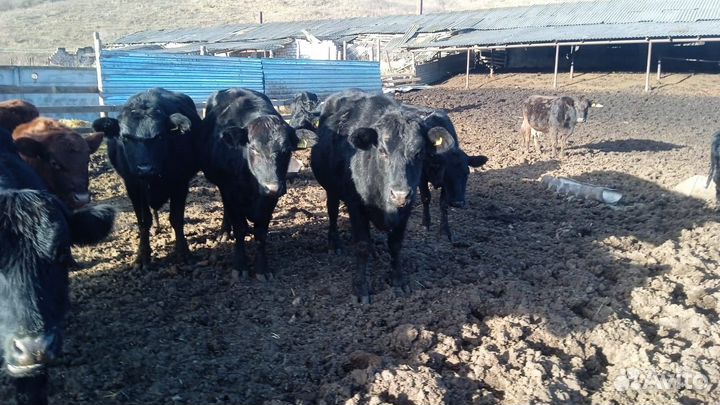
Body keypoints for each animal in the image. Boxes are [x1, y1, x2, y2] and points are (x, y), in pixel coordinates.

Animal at [92, 88, 202, 269]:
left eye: (160, 136)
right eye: (125, 137)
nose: (145, 169)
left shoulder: (180, 183)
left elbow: (176, 218)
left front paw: (183, 252)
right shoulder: (132, 186)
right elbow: (143, 222)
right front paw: (143, 255)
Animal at [201, 88, 317, 280]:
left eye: (287, 150)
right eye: (253, 148)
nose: (272, 187)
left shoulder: (270, 199)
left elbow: (261, 233)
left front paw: (262, 268)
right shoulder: (230, 192)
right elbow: (239, 229)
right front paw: (240, 266)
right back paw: (224, 232)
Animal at [311, 90, 454, 303]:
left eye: (419, 153)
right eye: (382, 151)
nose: (400, 194)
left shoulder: (406, 208)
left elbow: (395, 244)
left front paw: (398, 280)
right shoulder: (355, 205)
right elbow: (361, 245)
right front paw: (360, 289)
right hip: (331, 190)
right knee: (333, 213)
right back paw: (334, 244)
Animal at [401, 105, 488, 241]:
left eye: (467, 173)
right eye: (446, 172)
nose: (458, 203)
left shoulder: (445, 187)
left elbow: (443, 204)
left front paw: (444, 231)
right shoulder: (422, 178)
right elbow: (426, 198)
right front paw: (426, 224)